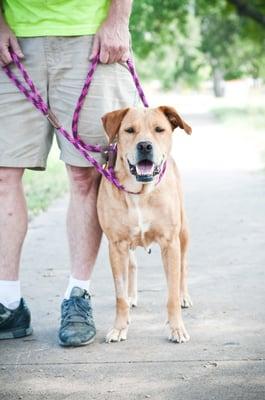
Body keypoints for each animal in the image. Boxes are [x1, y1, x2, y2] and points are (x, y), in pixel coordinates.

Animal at [97, 106, 192, 344]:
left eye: (159, 129)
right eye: (129, 130)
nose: (145, 146)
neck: (140, 192)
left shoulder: (170, 243)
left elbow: (171, 294)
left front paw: (177, 328)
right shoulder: (116, 245)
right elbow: (119, 296)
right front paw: (119, 327)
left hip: (183, 233)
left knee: (183, 267)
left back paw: (184, 296)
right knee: (132, 265)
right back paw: (132, 296)